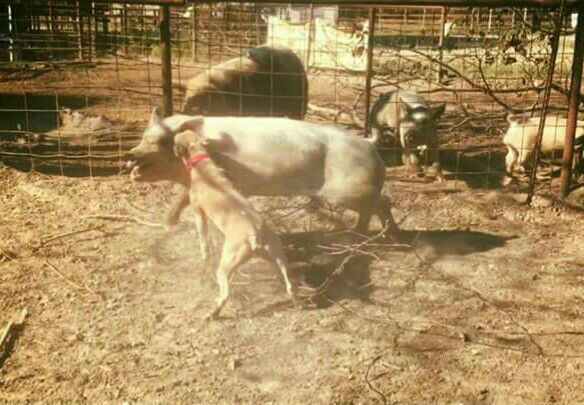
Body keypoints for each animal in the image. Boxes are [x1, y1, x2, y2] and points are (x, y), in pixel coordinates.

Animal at [172, 123, 296, 318]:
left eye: (175, 140)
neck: (201, 163)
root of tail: (254, 232)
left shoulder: (199, 214)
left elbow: (203, 241)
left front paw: (204, 256)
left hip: (225, 267)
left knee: (225, 295)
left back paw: (213, 313)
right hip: (276, 255)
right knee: (288, 277)